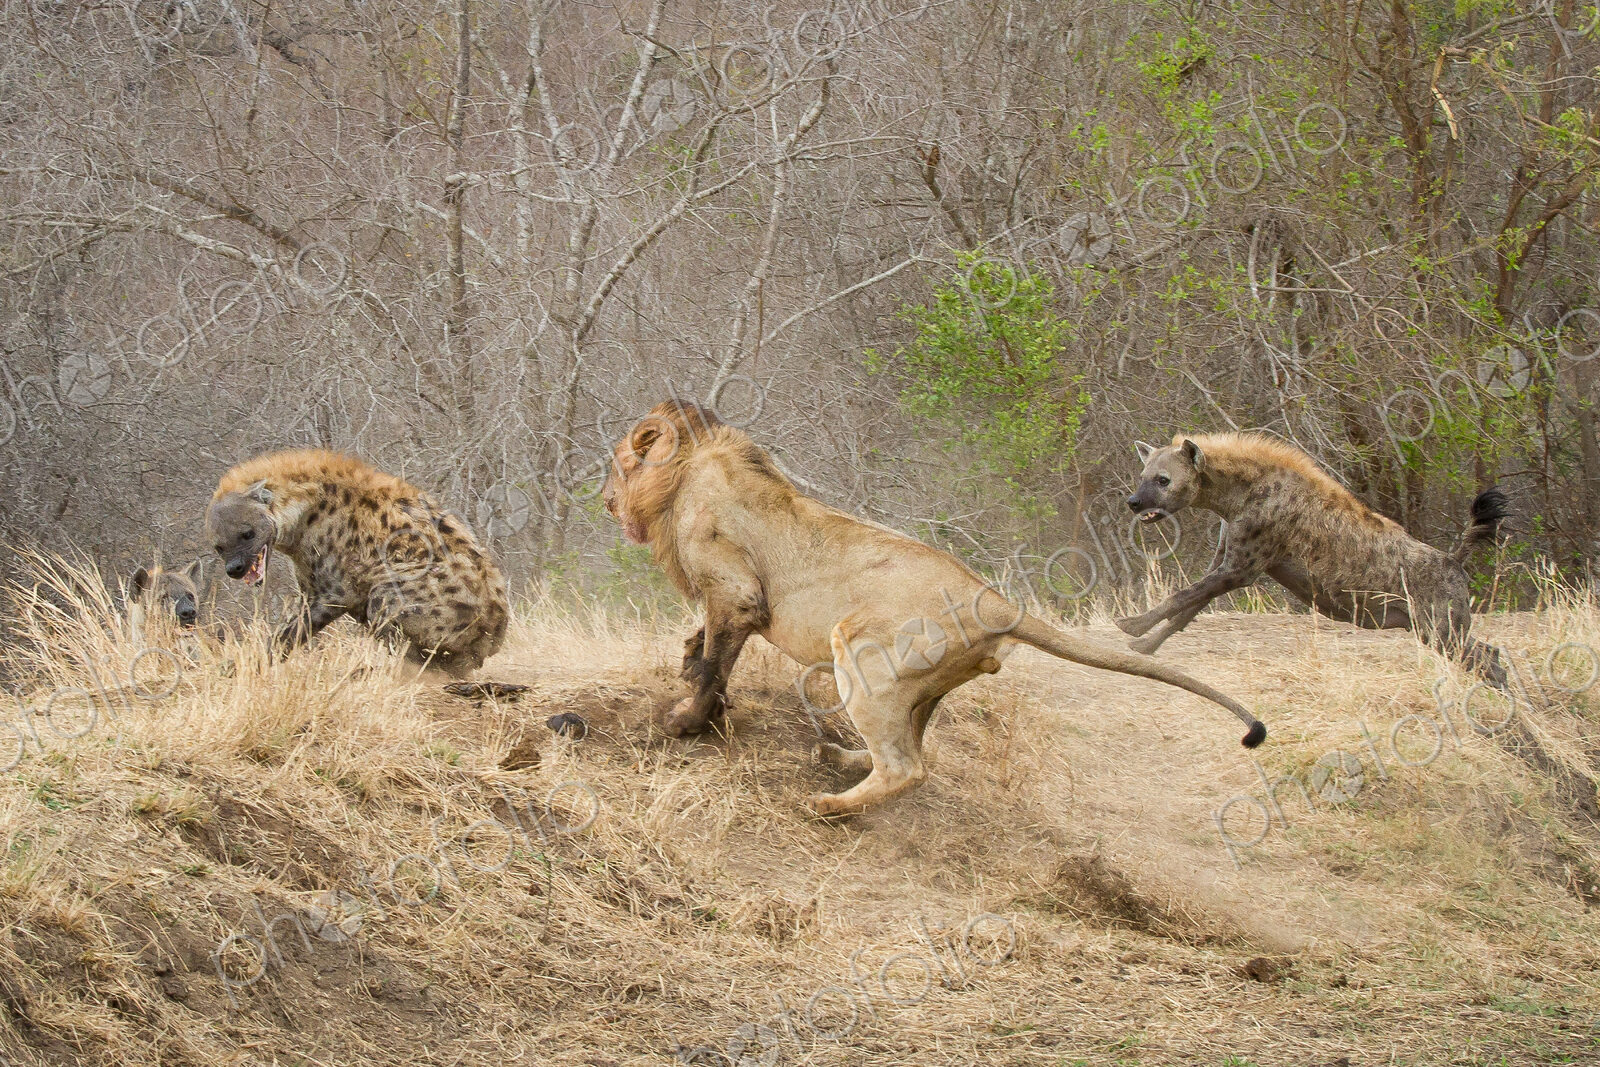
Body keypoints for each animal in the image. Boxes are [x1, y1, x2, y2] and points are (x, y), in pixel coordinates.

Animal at [601, 401, 1265, 816]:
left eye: (618, 462)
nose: (605, 500)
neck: (684, 477)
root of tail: (996, 601)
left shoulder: (734, 593)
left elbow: (716, 664)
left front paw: (687, 721)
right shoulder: (724, 604)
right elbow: (702, 648)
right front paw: (690, 676)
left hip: (864, 653)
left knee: (907, 768)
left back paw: (830, 805)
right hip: (923, 684)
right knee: (912, 751)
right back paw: (842, 758)